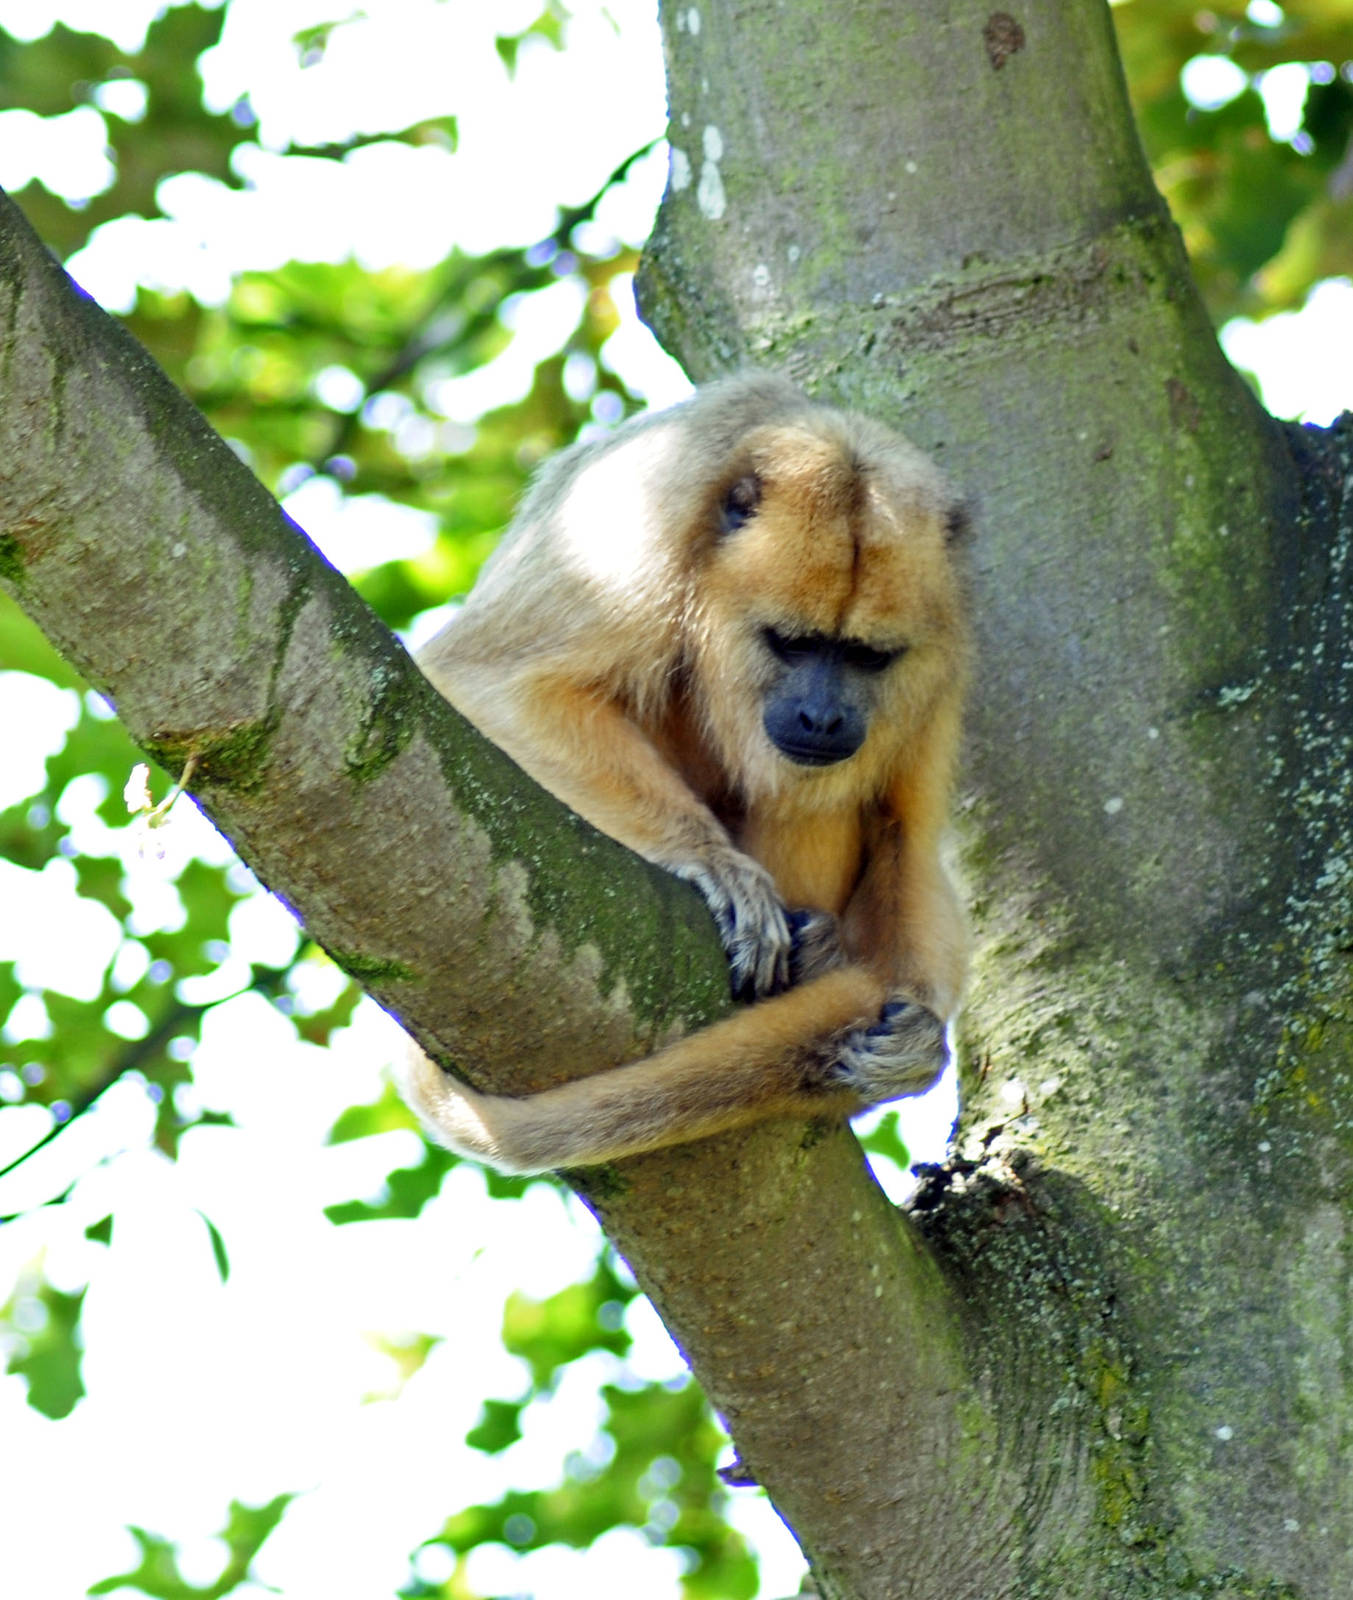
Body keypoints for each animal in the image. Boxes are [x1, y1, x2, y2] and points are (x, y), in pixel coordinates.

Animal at [399, 372, 970, 1173]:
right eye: (791, 644)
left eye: (867, 657)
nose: (823, 718)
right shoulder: (635, 520)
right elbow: (490, 682)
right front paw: (712, 862)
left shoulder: (946, 649)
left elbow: (908, 838)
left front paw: (917, 1042)